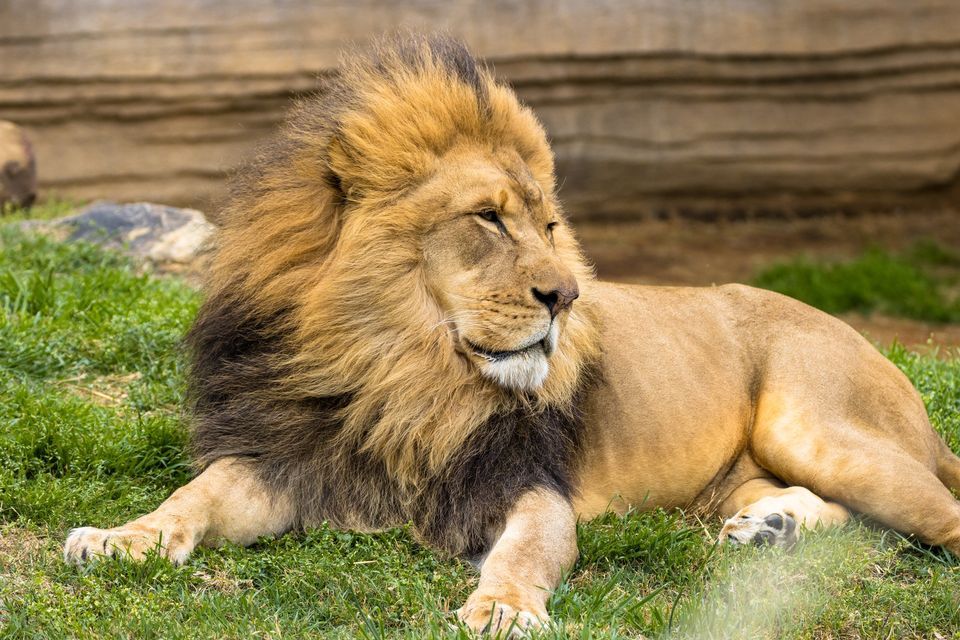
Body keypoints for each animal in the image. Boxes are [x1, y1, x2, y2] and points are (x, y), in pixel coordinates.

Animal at [64, 34, 960, 635]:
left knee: (939, 516)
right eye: (489, 220)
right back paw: (772, 530)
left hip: (819, 427)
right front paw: (120, 538)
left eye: (550, 227)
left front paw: (499, 607)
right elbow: (195, 495)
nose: (565, 296)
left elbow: (526, 551)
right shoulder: (290, 457)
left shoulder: (526, 483)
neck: (398, 365)